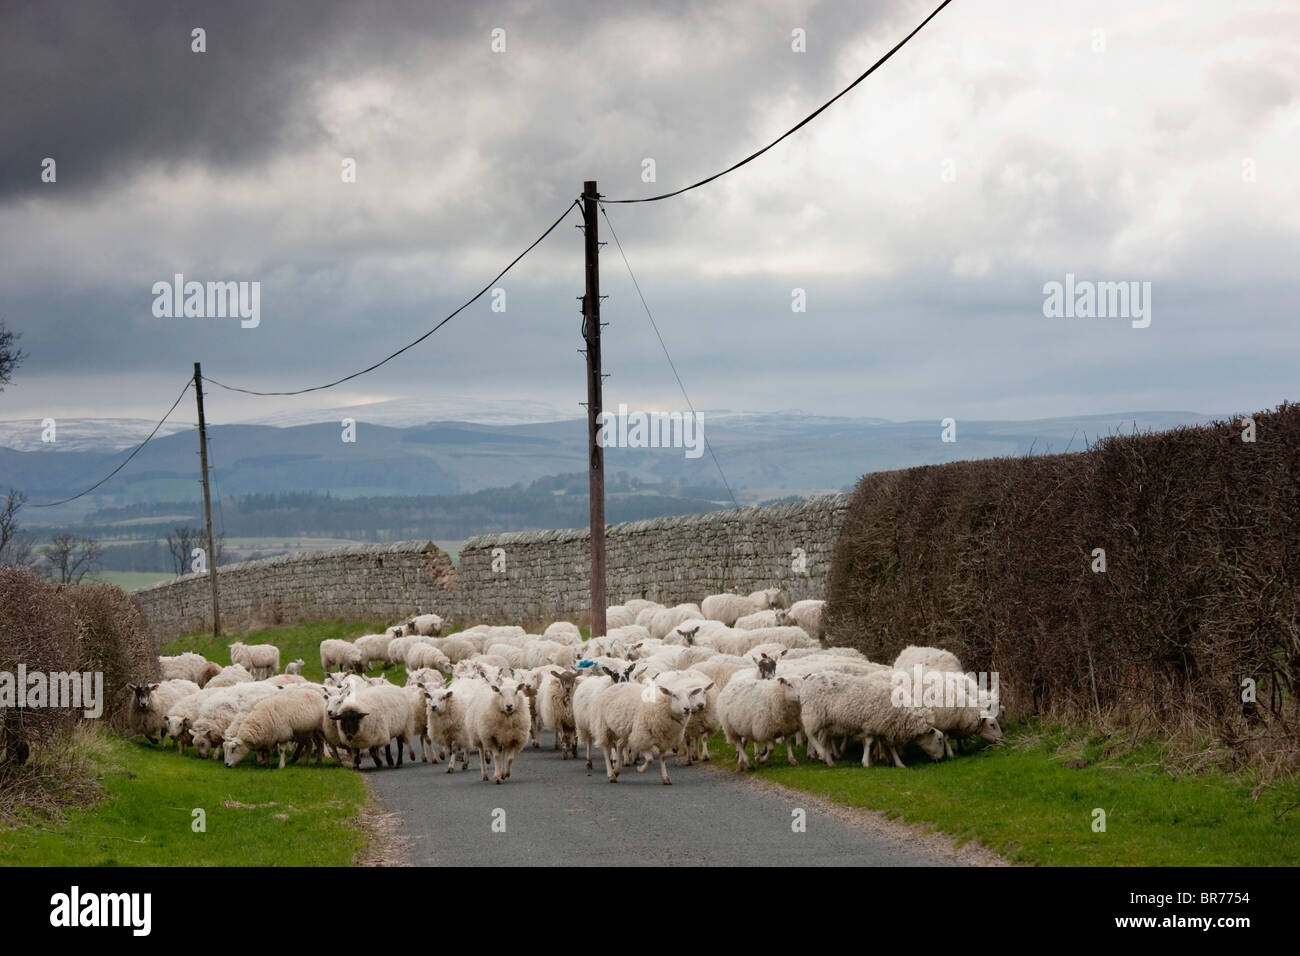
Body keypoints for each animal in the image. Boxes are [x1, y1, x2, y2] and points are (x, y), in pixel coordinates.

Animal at [790, 671, 946, 775]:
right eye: (939, 739)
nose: (941, 759)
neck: (901, 713)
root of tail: (809, 679)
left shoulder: (885, 727)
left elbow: (891, 747)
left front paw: (899, 763)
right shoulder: (871, 725)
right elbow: (869, 743)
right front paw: (866, 762)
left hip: (826, 720)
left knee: (821, 737)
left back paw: (828, 759)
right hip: (814, 713)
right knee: (810, 733)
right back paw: (822, 753)